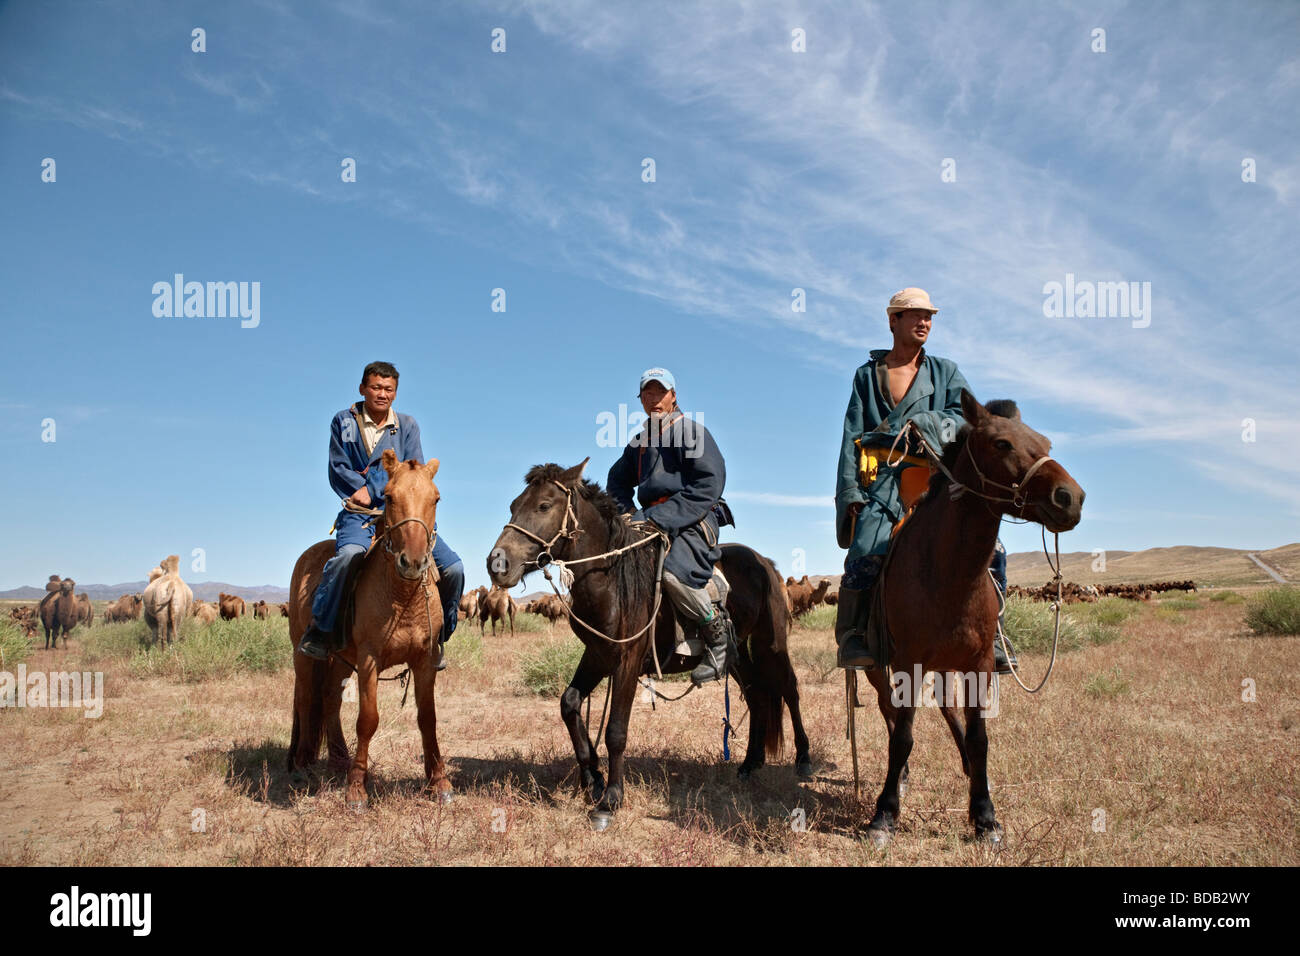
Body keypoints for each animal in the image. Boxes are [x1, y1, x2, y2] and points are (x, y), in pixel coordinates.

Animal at [286, 452, 452, 811]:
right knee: (306, 699)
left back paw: (338, 760)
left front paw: (439, 781)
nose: (412, 562)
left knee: (329, 698)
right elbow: (368, 720)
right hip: (303, 656)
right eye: (388, 497)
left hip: (338, 660)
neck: (401, 596)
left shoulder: (425, 661)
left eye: (435, 499)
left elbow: (428, 718)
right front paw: (357, 789)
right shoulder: (369, 660)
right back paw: (303, 765)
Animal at [488, 460, 811, 827]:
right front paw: (592, 778)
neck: (611, 579)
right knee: (757, 698)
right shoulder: (598, 654)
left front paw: (610, 799)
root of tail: (766, 564)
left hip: (771, 644)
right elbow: (569, 704)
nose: (496, 563)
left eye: (544, 506)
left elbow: (615, 730)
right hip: (739, 655)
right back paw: (749, 764)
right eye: (514, 505)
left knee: (789, 690)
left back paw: (803, 759)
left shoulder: (628, 658)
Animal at [863, 392, 1086, 848]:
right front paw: (884, 814)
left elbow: (980, 737)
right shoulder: (909, 663)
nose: (1070, 497)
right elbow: (903, 736)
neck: (949, 570)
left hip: (949, 666)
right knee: (889, 711)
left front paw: (985, 815)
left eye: (1046, 443)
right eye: (1002, 443)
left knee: (948, 712)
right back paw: (902, 777)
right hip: (879, 667)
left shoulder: (979, 664)